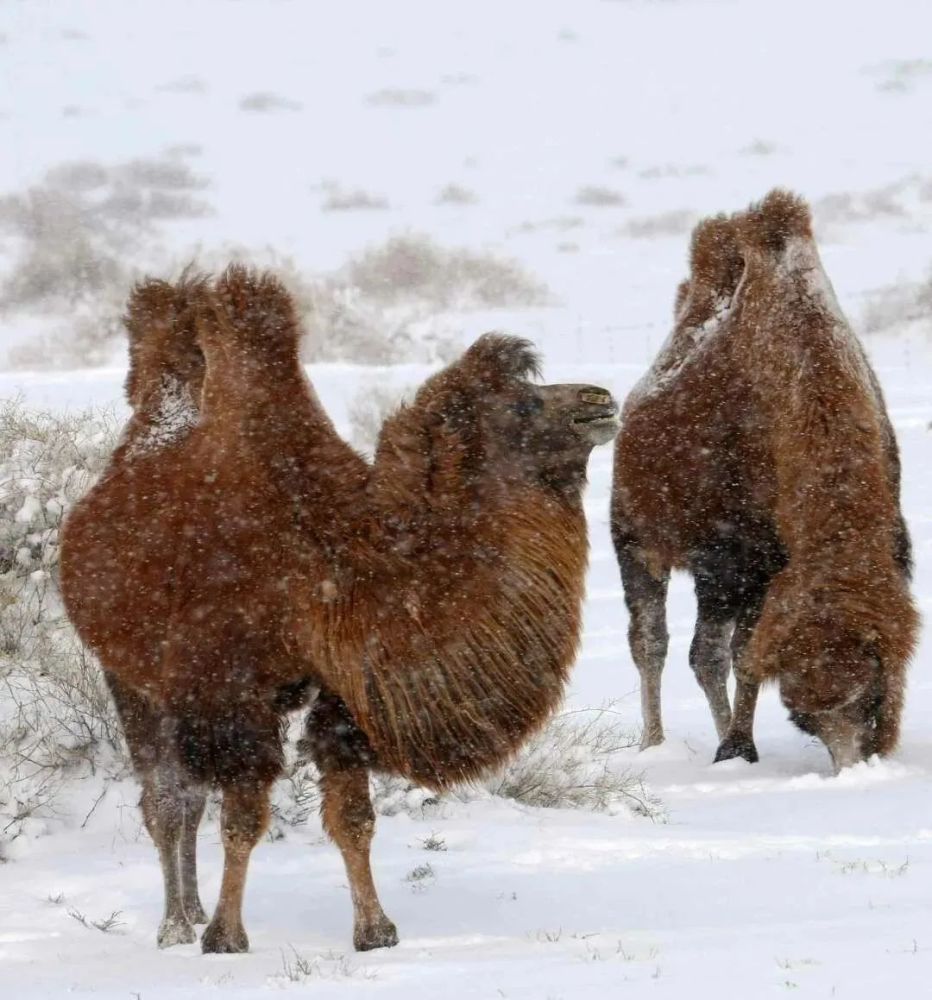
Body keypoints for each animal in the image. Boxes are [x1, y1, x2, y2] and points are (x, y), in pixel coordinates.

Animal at [62, 266, 624, 952]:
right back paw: (174, 926)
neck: (339, 565)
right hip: (129, 676)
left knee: (185, 798)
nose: (599, 399)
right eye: (523, 404)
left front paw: (375, 931)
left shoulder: (342, 697)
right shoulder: (231, 695)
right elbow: (241, 817)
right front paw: (226, 937)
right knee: (168, 798)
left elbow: (352, 816)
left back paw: (189, 911)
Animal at [612, 191, 916, 768]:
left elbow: (742, 654)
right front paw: (736, 749)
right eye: (804, 715)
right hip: (636, 539)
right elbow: (729, 654)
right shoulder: (731, 558)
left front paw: (736, 745)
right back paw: (656, 743)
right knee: (654, 641)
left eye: (872, 694)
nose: (852, 765)